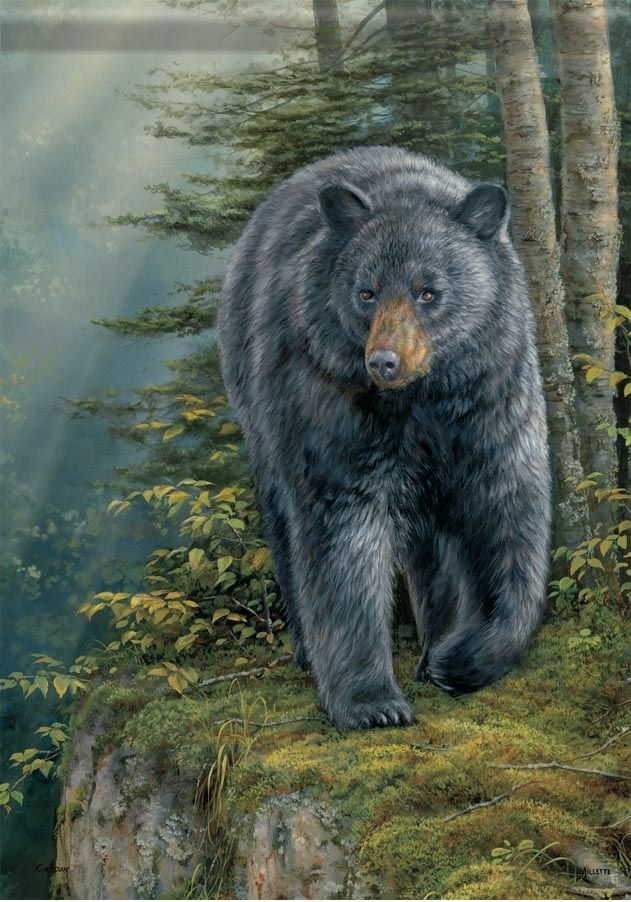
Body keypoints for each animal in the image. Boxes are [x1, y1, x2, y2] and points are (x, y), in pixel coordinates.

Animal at [218, 145, 551, 731]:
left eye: (429, 291)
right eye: (366, 292)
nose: (384, 362)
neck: (420, 403)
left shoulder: (491, 402)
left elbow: (510, 517)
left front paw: (460, 659)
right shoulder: (330, 409)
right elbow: (342, 538)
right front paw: (371, 703)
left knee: (432, 548)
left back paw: (433, 640)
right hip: (260, 416)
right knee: (283, 525)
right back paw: (306, 648)